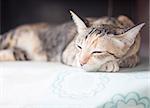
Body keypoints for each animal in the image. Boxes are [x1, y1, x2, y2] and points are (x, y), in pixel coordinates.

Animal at [0, 10, 144, 71]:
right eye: (79, 47)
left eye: (97, 52)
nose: (82, 62)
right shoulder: (67, 52)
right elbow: (74, 58)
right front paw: (109, 64)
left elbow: (133, 58)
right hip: (9, 38)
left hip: (20, 54)